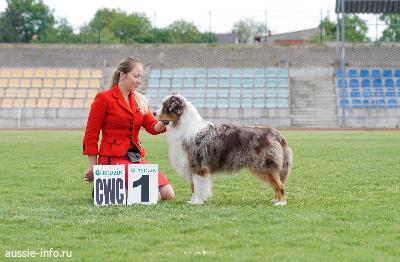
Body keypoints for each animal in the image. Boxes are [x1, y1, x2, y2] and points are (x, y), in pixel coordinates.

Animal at [155, 95, 292, 206]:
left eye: (165, 106)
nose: (154, 113)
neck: (183, 125)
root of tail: (274, 133)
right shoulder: (191, 167)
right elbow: (193, 187)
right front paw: (192, 201)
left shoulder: (198, 166)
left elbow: (198, 186)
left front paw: (197, 202)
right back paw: (276, 200)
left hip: (264, 165)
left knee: (280, 185)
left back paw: (281, 203)